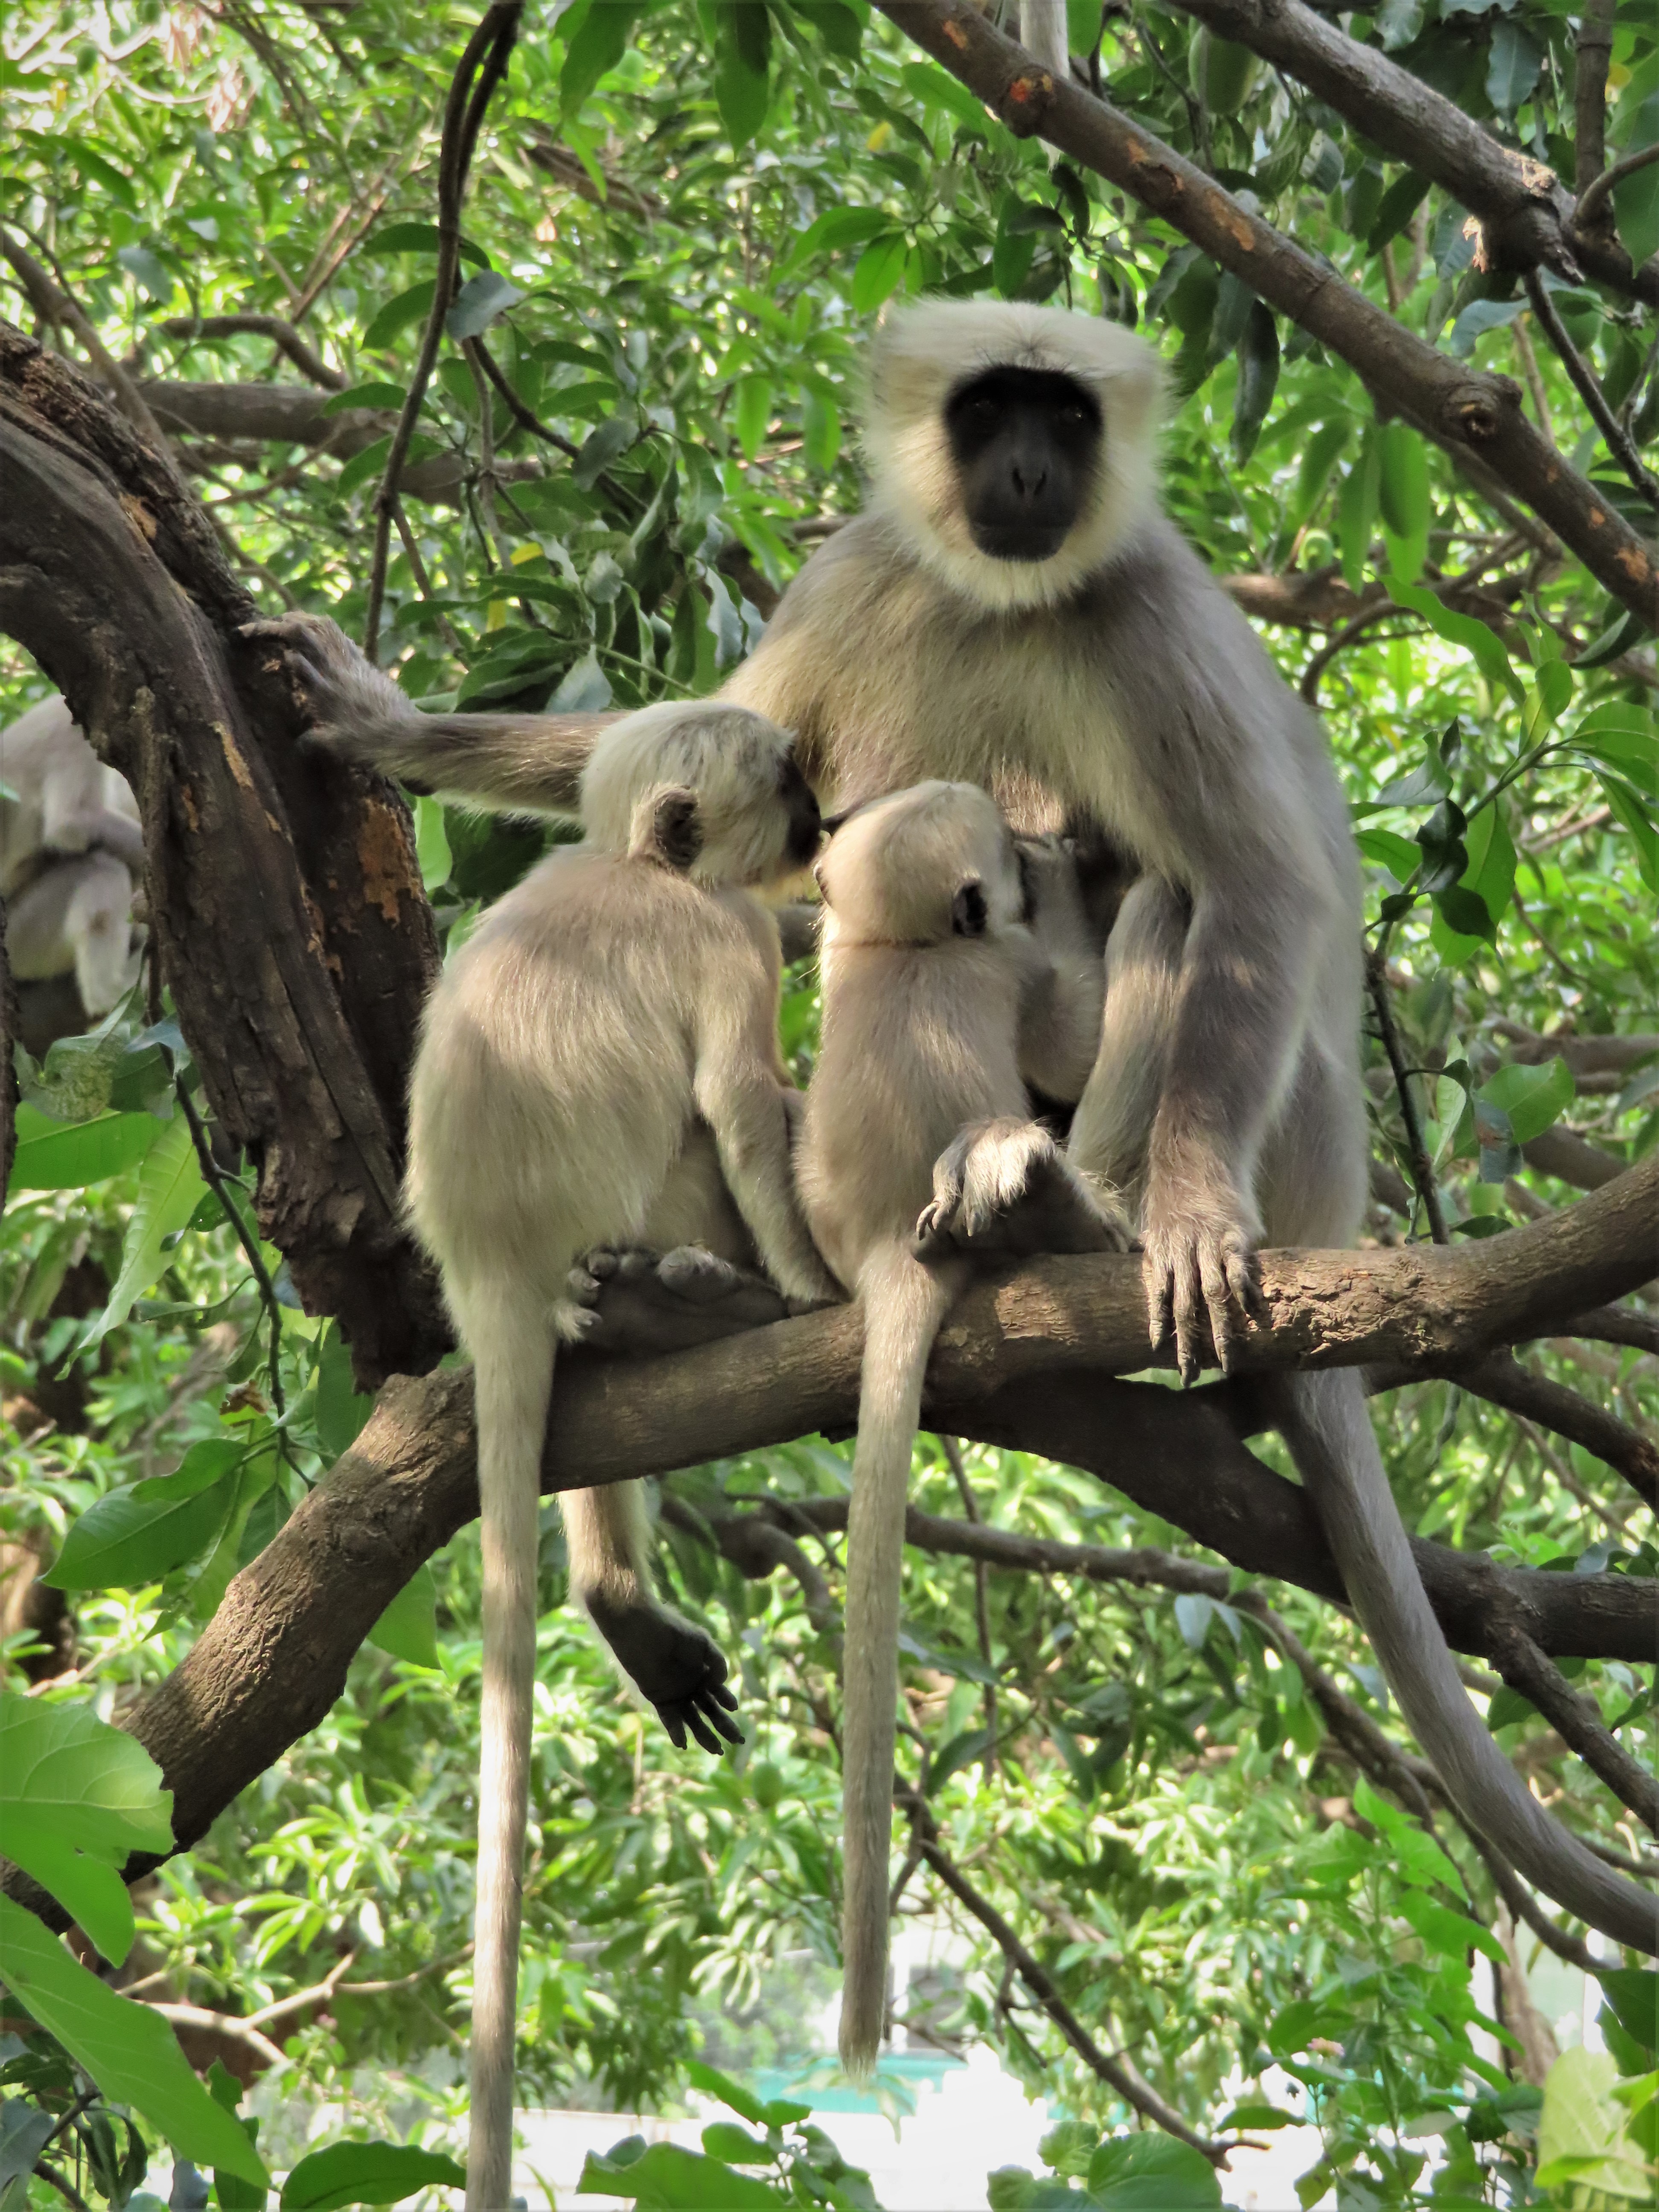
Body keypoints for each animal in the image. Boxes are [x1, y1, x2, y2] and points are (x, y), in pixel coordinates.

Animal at [393, 696, 840, 2211]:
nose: (825, 819)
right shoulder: (722, 933)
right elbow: (747, 1103)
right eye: (786, 784)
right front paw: (819, 1292)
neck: (633, 867)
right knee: (719, 1136)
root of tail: (486, 1267)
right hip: (647, 1202)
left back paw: (614, 1597)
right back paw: (722, 1295)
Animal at [797, 781, 1129, 2079]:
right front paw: (1077, 883)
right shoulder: (1011, 965)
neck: (905, 949)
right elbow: (1069, 1036)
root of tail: (888, 1252)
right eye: (982, 824)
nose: (1021, 827)